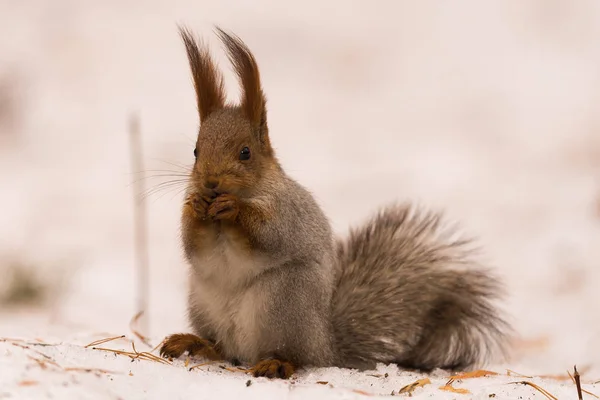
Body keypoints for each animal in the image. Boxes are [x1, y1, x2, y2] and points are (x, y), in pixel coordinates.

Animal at [161, 27, 510, 378]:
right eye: (195, 151)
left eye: (245, 152)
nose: (210, 183)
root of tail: (325, 344)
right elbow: (195, 247)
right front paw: (195, 207)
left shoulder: (288, 213)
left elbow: (269, 237)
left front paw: (233, 209)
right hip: (203, 301)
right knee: (222, 348)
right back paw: (195, 343)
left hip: (286, 299)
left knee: (295, 356)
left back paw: (277, 362)